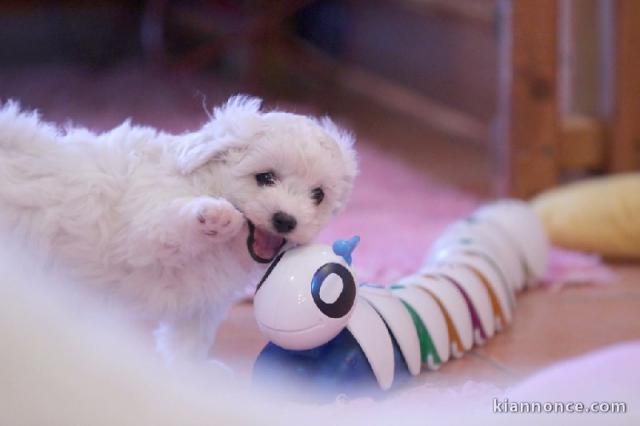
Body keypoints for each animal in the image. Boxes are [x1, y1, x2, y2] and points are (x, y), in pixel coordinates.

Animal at [0, 95, 358, 362]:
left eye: (318, 195)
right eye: (265, 178)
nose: (286, 220)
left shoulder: (202, 306)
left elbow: (189, 344)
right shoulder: (143, 225)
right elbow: (167, 222)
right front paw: (214, 215)